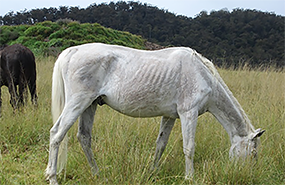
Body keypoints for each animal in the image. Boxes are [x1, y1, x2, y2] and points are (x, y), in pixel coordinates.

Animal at [45, 43, 264, 184]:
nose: (247, 175)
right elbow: (189, 147)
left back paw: (97, 174)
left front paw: (153, 172)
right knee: (57, 135)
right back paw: (53, 177)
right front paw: (189, 177)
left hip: (90, 105)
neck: (202, 74)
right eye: (253, 153)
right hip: (78, 102)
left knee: (84, 137)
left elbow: (161, 144)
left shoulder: (170, 116)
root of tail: (73, 51)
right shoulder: (188, 113)